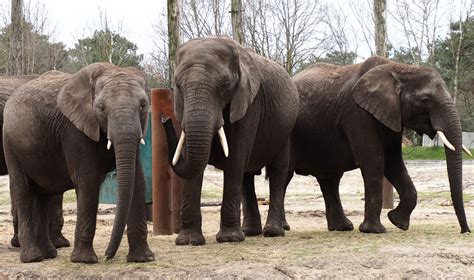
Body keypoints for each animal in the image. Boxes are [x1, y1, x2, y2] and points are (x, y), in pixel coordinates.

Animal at [161, 36, 298, 245]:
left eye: (225, 84)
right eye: (177, 85)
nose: (164, 119)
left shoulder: (250, 104)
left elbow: (235, 158)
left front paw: (229, 239)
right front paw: (188, 241)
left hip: (285, 128)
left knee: (277, 171)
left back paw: (272, 232)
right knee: (247, 177)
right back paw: (250, 231)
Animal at [270, 55, 470, 233]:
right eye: (425, 100)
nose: (465, 231)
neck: (398, 68)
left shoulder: (390, 115)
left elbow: (394, 163)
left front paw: (397, 222)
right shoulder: (357, 114)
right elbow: (374, 162)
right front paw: (375, 230)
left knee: (330, 178)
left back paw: (342, 227)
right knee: (286, 174)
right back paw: (284, 228)